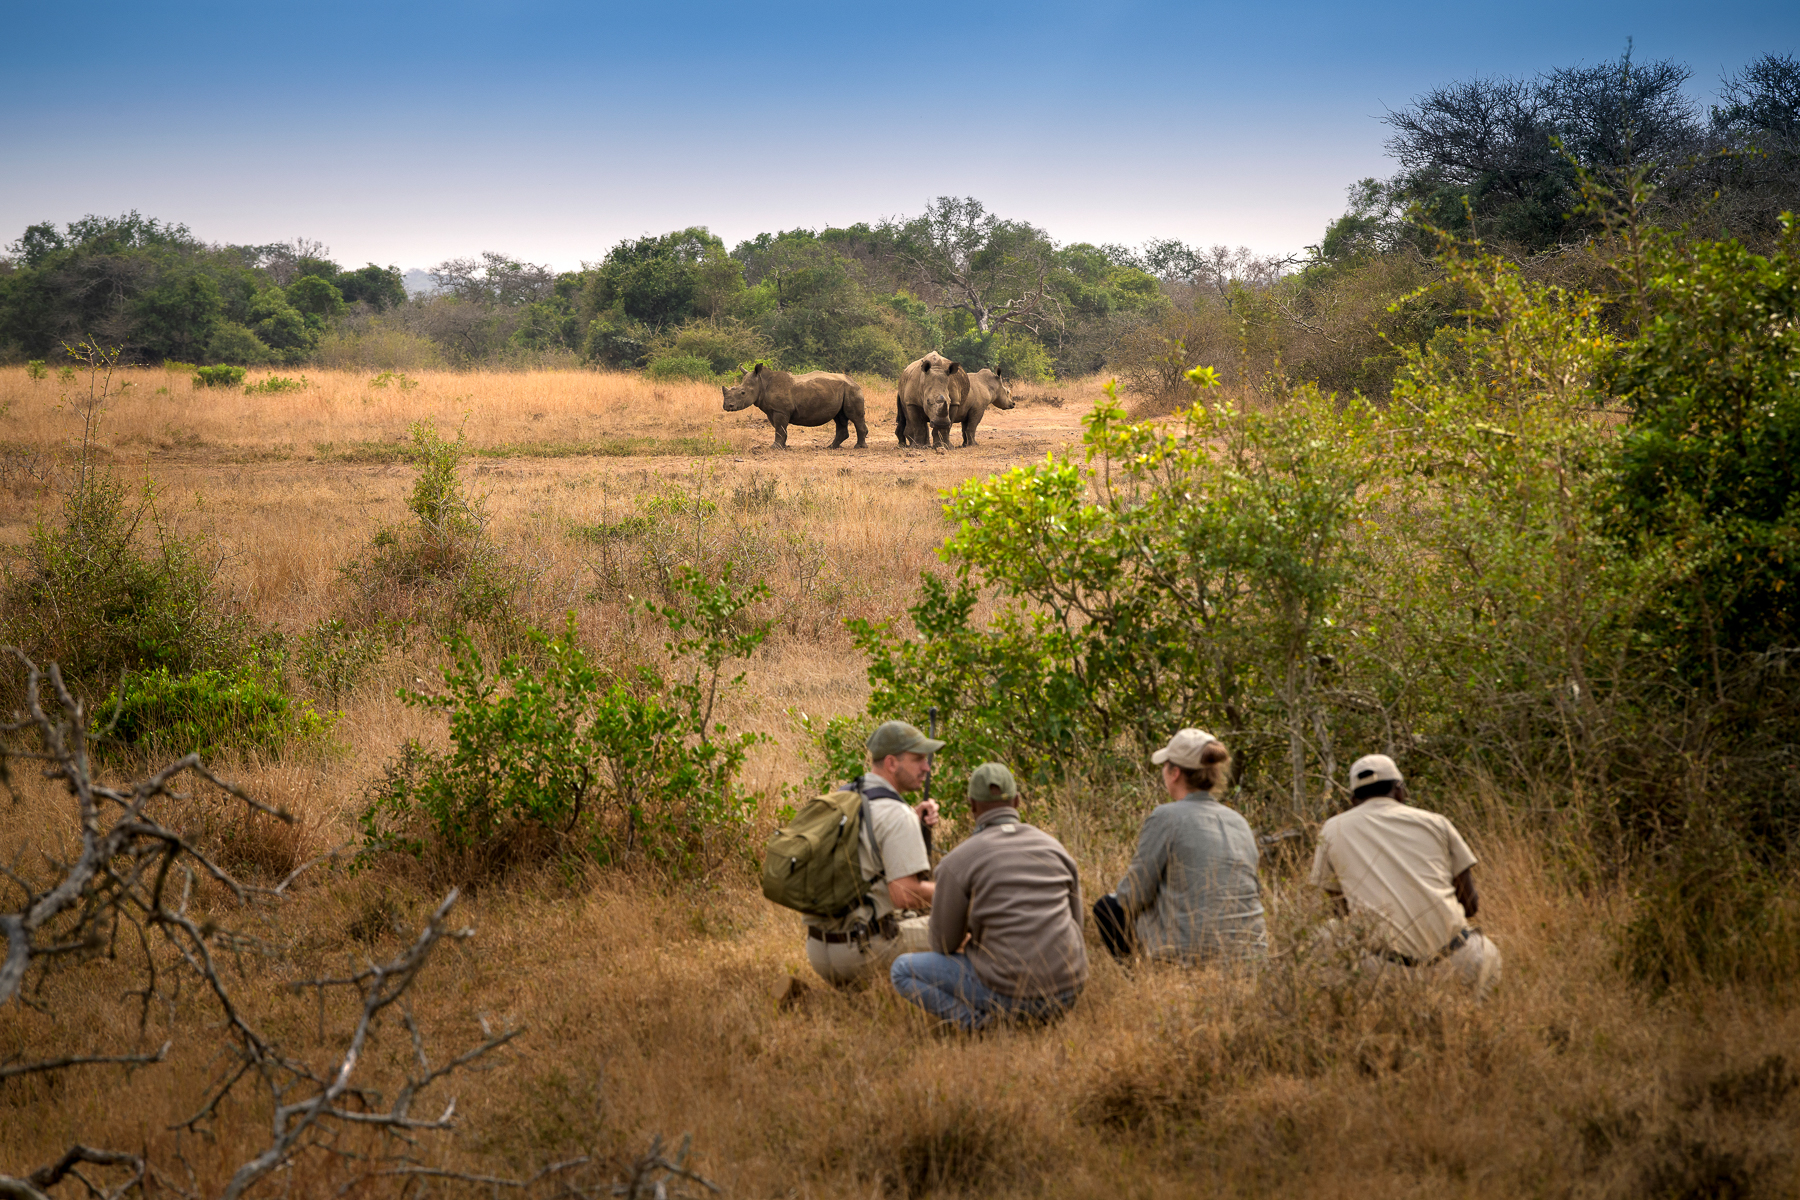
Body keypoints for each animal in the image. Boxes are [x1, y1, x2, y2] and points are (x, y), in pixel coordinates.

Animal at [722, 363, 868, 449]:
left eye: (742, 393)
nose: (727, 406)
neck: (762, 383)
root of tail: (853, 381)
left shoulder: (780, 410)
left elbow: (779, 428)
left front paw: (774, 447)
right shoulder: (773, 410)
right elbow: (780, 429)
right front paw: (783, 446)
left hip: (852, 390)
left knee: (854, 417)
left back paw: (859, 447)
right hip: (842, 390)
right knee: (839, 417)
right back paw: (831, 447)